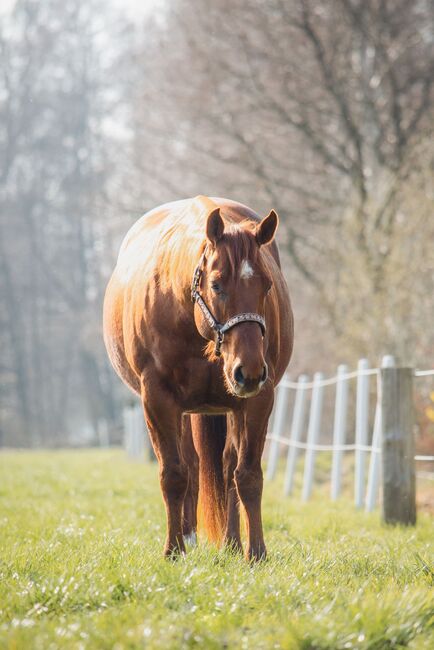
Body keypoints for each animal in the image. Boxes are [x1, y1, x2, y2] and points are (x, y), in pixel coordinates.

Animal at [103, 192, 294, 556]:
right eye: (216, 284)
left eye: (266, 285)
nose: (249, 370)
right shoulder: (158, 399)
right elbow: (174, 475)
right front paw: (173, 549)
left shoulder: (257, 399)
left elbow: (247, 475)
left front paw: (256, 553)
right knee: (191, 465)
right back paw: (188, 537)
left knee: (226, 466)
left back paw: (232, 543)